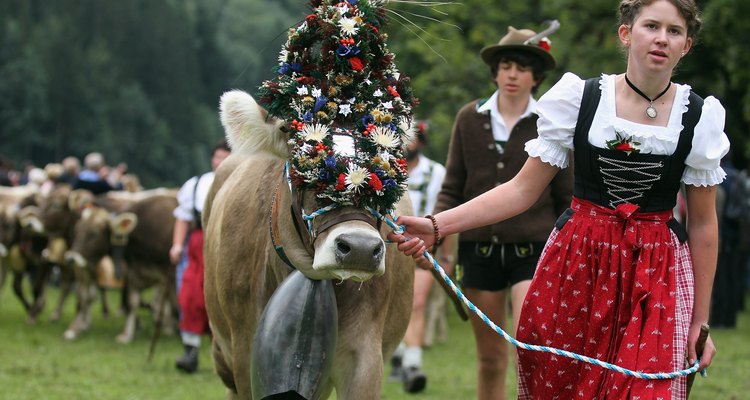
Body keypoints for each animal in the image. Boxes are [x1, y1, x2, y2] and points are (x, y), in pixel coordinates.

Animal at [62, 192, 178, 342]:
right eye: (77, 230)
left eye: (94, 233)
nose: (71, 258)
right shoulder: (133, 273)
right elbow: (133, 302)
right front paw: (127, 335)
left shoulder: (168, 275)